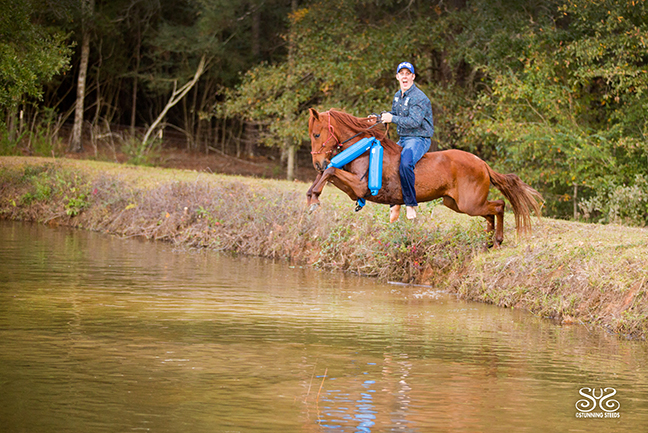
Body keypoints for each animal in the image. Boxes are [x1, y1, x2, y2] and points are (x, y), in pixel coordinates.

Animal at [306, 108, 544, 246]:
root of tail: (483, 164)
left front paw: (315, 198)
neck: (364, 149)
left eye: (316, 134)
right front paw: (311, 196)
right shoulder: (351, 187)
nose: (316, 162)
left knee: (499, 206)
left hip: (469, 204)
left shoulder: (359, 187)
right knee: (491, 212)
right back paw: (488, 241)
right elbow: (326, 172)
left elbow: (330, 171)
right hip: (456, 204)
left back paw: (498, 240)